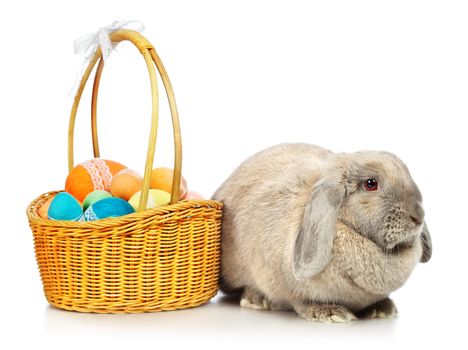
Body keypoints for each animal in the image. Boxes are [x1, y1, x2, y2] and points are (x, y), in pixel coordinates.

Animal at [212, 142, 432, 322]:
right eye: (371, 184)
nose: (418, 217)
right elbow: (301, 301)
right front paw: (330, 313)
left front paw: (382, 309)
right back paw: (258, 300)